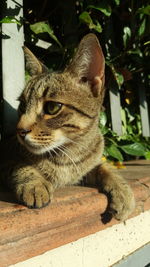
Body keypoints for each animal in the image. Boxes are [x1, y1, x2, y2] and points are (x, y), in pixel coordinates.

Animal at [0, 34, 135, 221]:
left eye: (52, 107)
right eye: (22, 106)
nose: (20, 131)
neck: (66, 155)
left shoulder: (89, 166)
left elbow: (105, 168)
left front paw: (123, 191)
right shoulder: (5, 156)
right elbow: (19, 166)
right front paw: (35, 185)